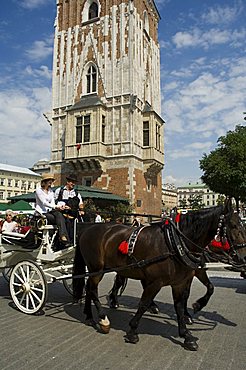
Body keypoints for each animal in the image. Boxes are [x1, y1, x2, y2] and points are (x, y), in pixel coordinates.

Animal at [72, 201, 246, 352]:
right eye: (234, 226)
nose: (243, 258)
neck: (175, 242)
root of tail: (86, 230)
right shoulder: (157, 282)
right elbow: (143, 303)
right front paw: (132, 330)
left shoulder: (180, 281)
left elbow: (181, 305)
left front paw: (186, 334)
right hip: (97, 268)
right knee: (93, 289)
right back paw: (103, 318)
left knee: (90, 287)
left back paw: (89, 315)